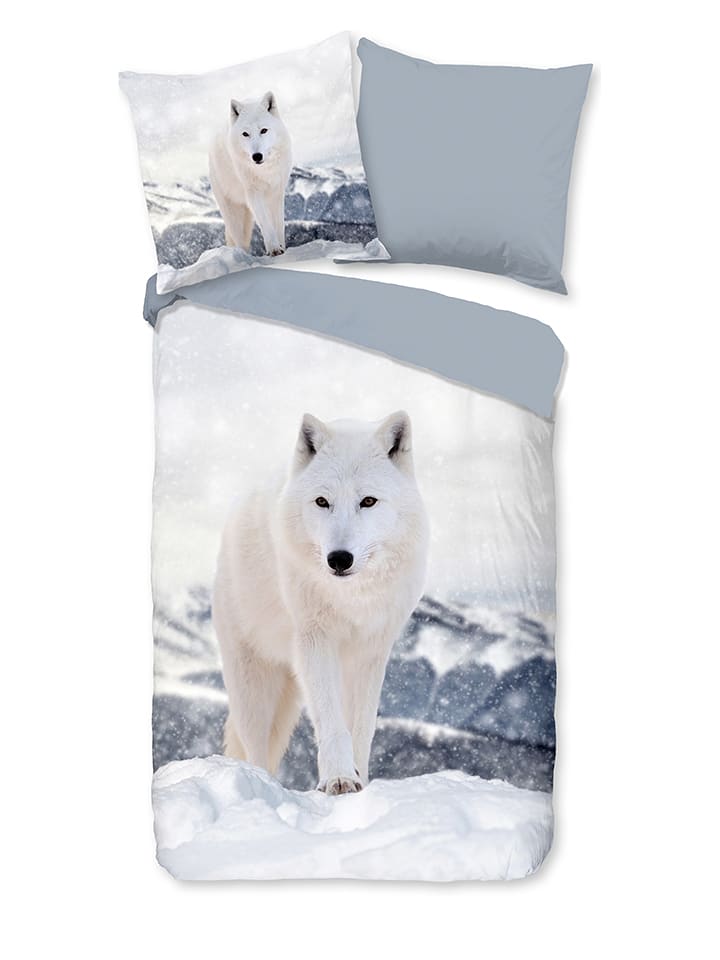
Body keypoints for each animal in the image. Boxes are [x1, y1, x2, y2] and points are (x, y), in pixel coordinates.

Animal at [209, 91, 292, 257]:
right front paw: (274, 249)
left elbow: (279, 224)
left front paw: (282, 248)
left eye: (264, 130)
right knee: (240, 242)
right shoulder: (253, 194)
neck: (265, 171)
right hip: (233, 215)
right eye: (245, 134)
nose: (257, 156)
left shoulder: (277, 193)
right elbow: (266, 224)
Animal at [213, 411, 429, 795]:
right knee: (255, 749)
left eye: (368, 501)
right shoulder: (315, 641)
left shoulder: (372, 653)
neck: (352, 598)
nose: (339, 559)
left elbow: (362, 728)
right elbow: (330, 721)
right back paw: (262, 785)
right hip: (252, 685)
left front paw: (359, 779)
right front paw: (339, 779)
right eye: (322, 502)